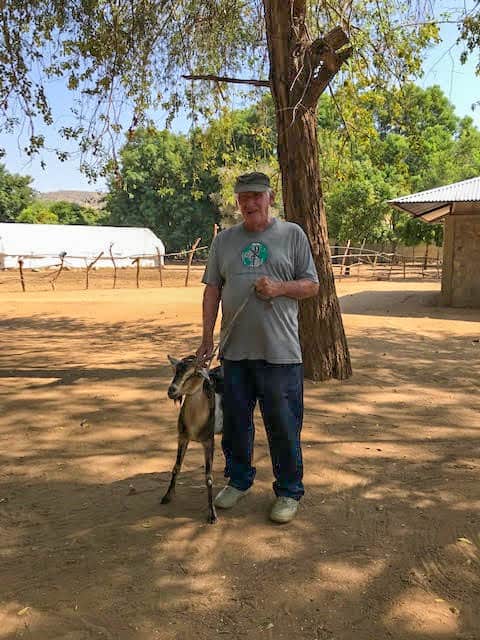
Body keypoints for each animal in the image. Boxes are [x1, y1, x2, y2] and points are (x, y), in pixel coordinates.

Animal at [159, 356, 223, 524]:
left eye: (193, 374)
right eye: (175, 370)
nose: (171, 390)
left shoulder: (209, 440)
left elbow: (209, 477)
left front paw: (212, 515)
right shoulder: (182, 437)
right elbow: (176, 467)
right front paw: (167, 496)